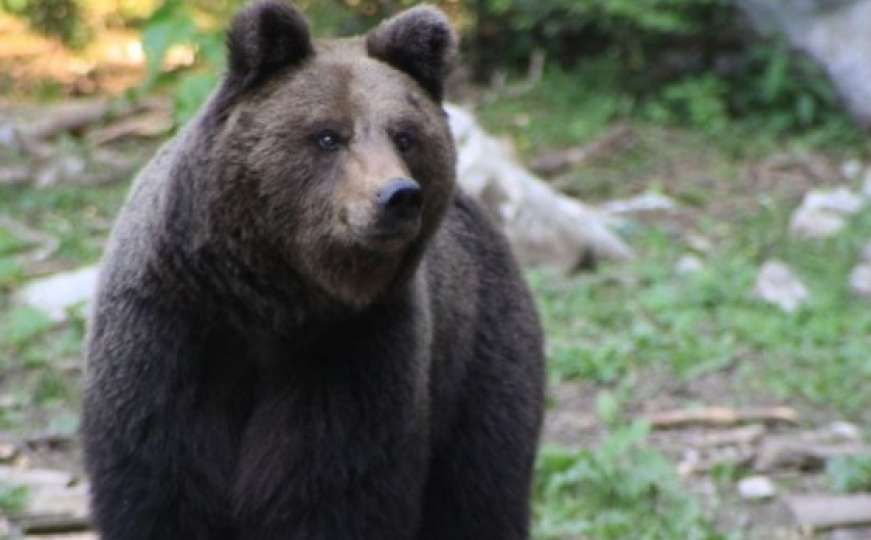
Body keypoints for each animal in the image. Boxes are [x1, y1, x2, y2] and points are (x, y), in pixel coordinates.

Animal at [82, 2, 544, 536]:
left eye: (404, 135)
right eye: (328, 135)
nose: (398, 196)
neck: (269, 301)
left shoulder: (354, 351)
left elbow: (328, 489)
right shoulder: (168, 339)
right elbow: (162, 487)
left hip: (477, 360)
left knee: (480, 490)